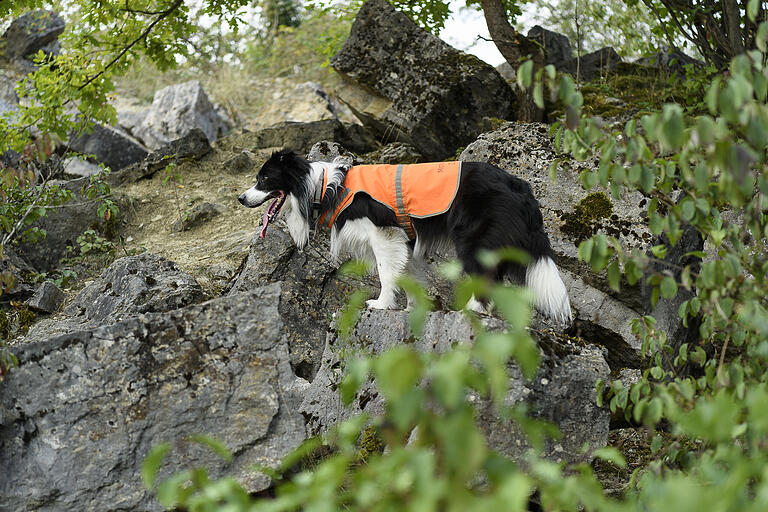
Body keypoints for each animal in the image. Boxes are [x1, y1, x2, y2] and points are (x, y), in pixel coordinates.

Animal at [238, 149, 568, 324]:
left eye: (264, 179)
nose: (241, 198)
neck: (326, 188)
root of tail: (520, 186)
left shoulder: (383, 233)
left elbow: (387, 274)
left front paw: (381, 305)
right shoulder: (405, 240)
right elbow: (409, 275)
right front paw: (412, 308)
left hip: (473, 240)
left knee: (485, 276)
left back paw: (472, 310)